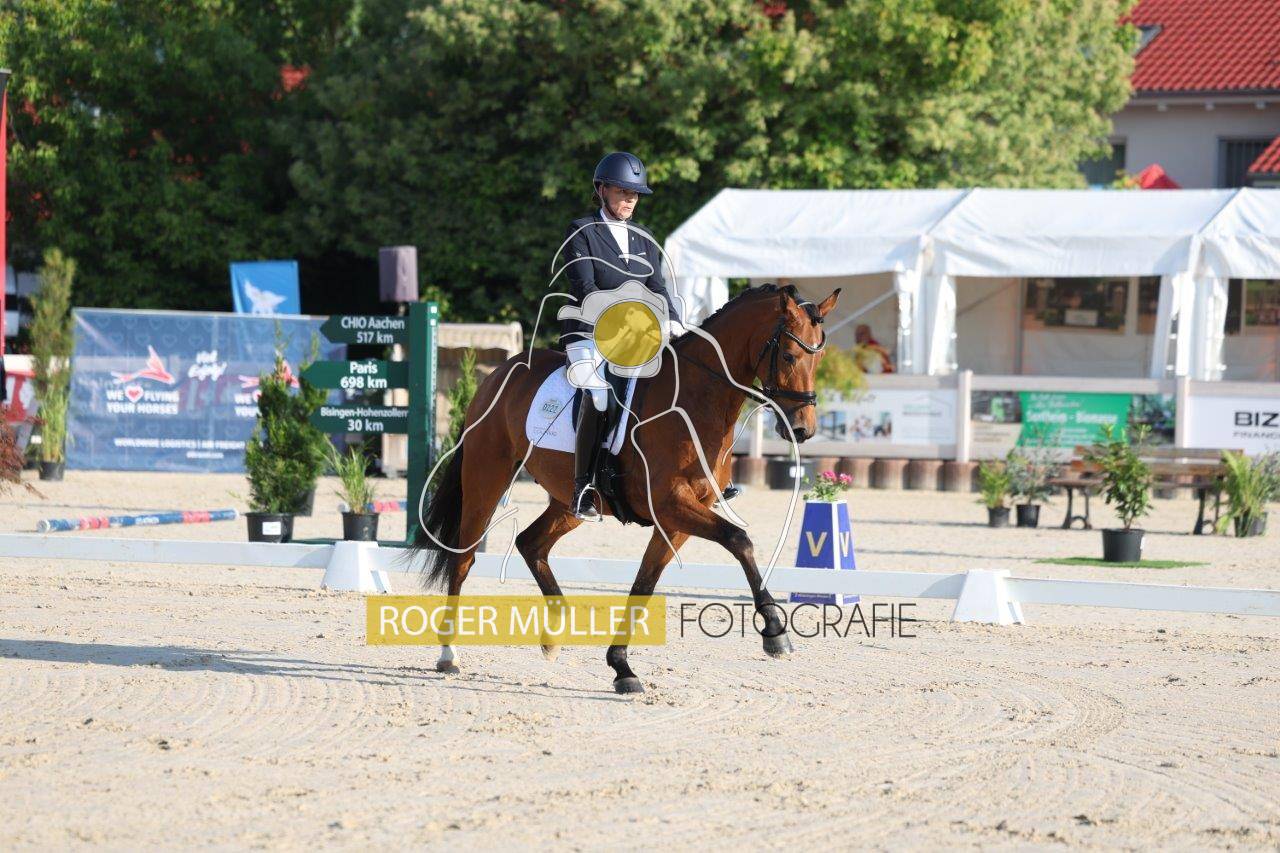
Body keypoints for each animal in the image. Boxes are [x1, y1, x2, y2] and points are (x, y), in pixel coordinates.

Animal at [412, 283, 839, 693]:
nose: (803, 429)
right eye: (789, 356)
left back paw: (554, 633)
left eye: (819, 360)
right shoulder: (672, 504)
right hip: (487, 478)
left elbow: (644, 584)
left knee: (531, 543)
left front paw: (621, 667)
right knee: (464, 558)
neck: (696, 399)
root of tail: (499, 373)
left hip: (570, 503)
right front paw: (776, 633)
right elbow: (739, 540)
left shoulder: (676, 519)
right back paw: (448, 653)